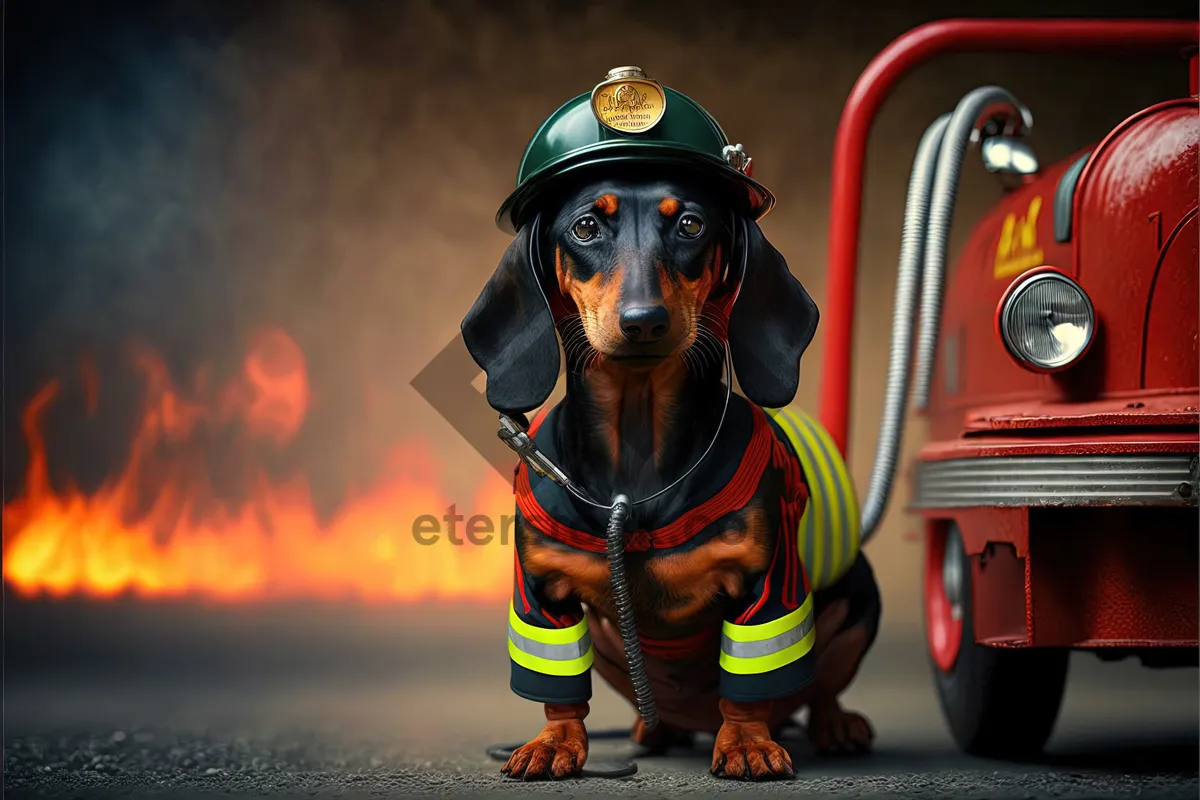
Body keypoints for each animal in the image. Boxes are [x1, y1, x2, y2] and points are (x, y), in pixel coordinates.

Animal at [458, 167, 883, 782]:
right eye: (586, 227)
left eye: (690, 224)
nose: (643, 322)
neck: (636, 467)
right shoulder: (541, 590)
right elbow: (560, 690)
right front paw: (554, 741)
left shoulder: (767, 582)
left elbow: (749, 682)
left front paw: (746, 742)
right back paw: (653, 729)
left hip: (859, 602)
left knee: (820, 688)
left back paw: (833, 726)